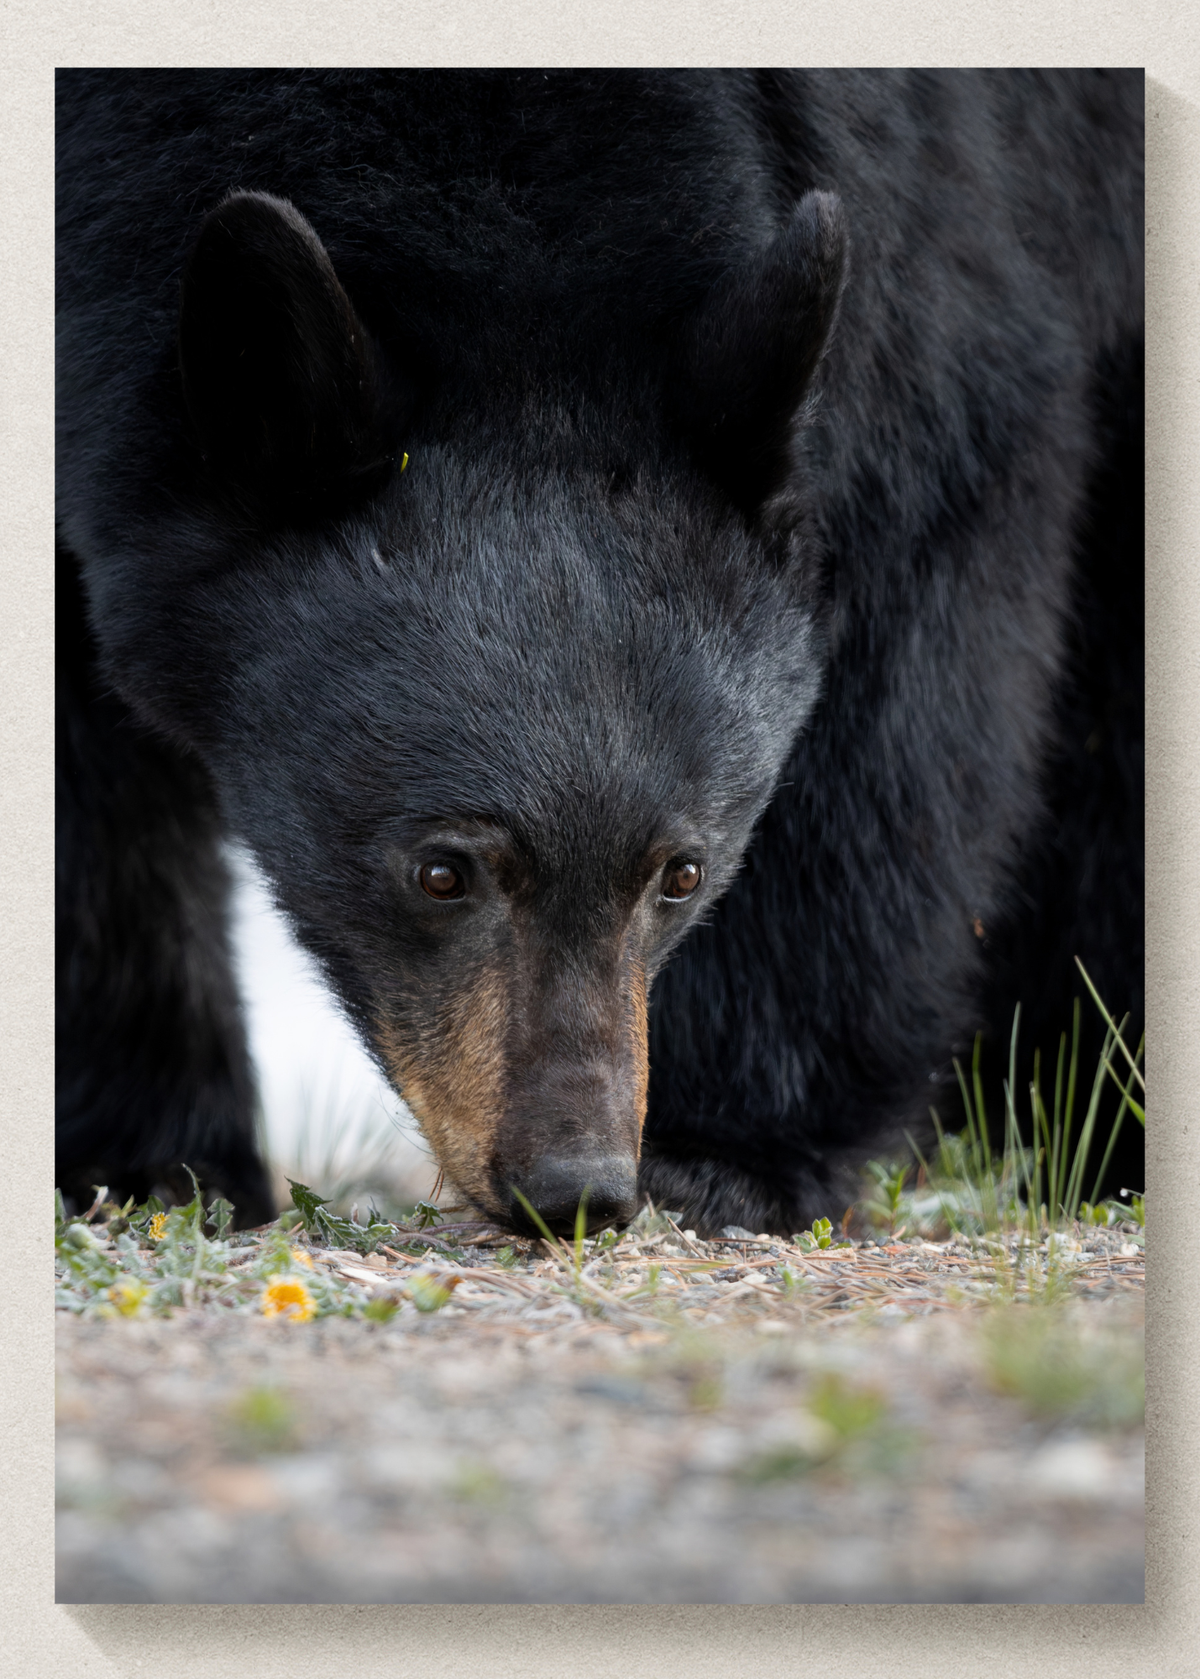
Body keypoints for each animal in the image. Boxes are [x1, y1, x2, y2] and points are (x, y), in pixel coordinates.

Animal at [55, 69, 1144, 1235]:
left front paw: (727, 1152)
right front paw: (144, 1159)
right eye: (440, 870)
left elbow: (904, 658)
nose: (574, 1185)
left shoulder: (947, 214)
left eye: (683, 871)